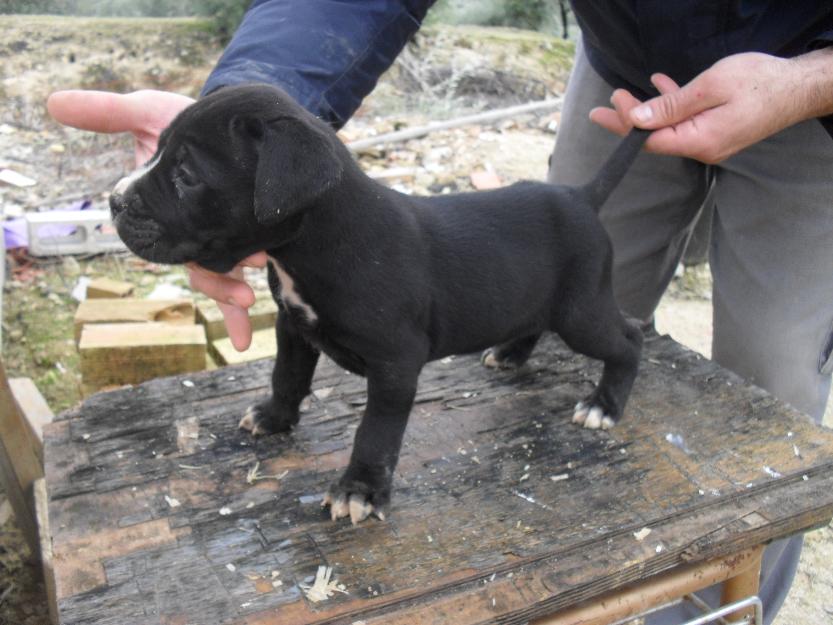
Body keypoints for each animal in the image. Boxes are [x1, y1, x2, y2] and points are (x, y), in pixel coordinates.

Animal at [109, 81, 644, 520]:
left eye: (186, 174)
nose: (114, 200)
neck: (317, 243)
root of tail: (580, 195)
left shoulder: (395, 364)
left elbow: (376, 433)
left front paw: (359, 489)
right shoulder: (292, 325)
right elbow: (286, 375)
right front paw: (275, 417)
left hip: (580, 311)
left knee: (629, 339)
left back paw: (604, 405)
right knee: (533, 320)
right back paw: (512, 353)